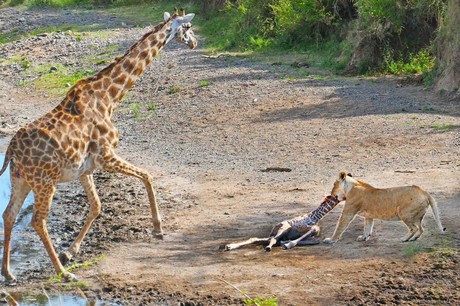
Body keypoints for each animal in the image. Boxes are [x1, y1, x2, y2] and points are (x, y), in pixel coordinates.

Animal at [0, 8, 198, 284]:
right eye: (188, 27)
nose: (195, 42)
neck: (109, 98)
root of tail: (11, 150)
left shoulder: (86, 168)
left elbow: (96, 205)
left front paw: (70, 252)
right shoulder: (107, 156)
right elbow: (147, 176)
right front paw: (158, 228)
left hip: (20, 179)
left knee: (9, 215)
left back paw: (9, 273)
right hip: (44, 181)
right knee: (37, 220)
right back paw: (62, 274)